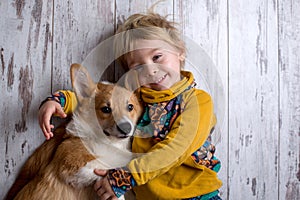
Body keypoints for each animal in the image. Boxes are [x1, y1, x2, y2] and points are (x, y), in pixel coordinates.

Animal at [5, 63, 144, 199]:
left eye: (130, 107)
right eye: (106, 109)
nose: (126, 127)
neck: (109, 141)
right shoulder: (73, 163)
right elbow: (110, 166)